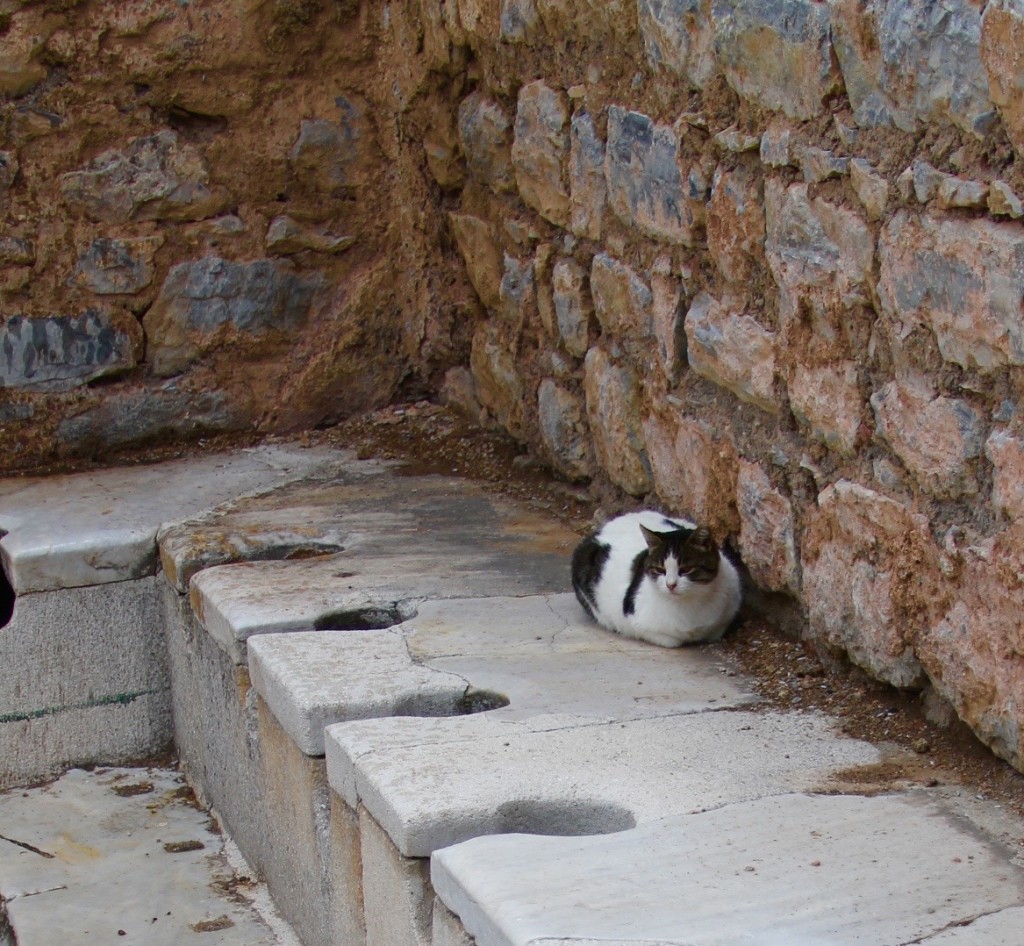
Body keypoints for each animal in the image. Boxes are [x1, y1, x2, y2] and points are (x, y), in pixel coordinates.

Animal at [569, 509, 745, 651]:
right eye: (660, 570)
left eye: (686, 569)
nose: (670, 585)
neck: (691, 602)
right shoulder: (637, 623)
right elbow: (672, 640)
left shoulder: (727, 612)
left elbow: (714, 631)